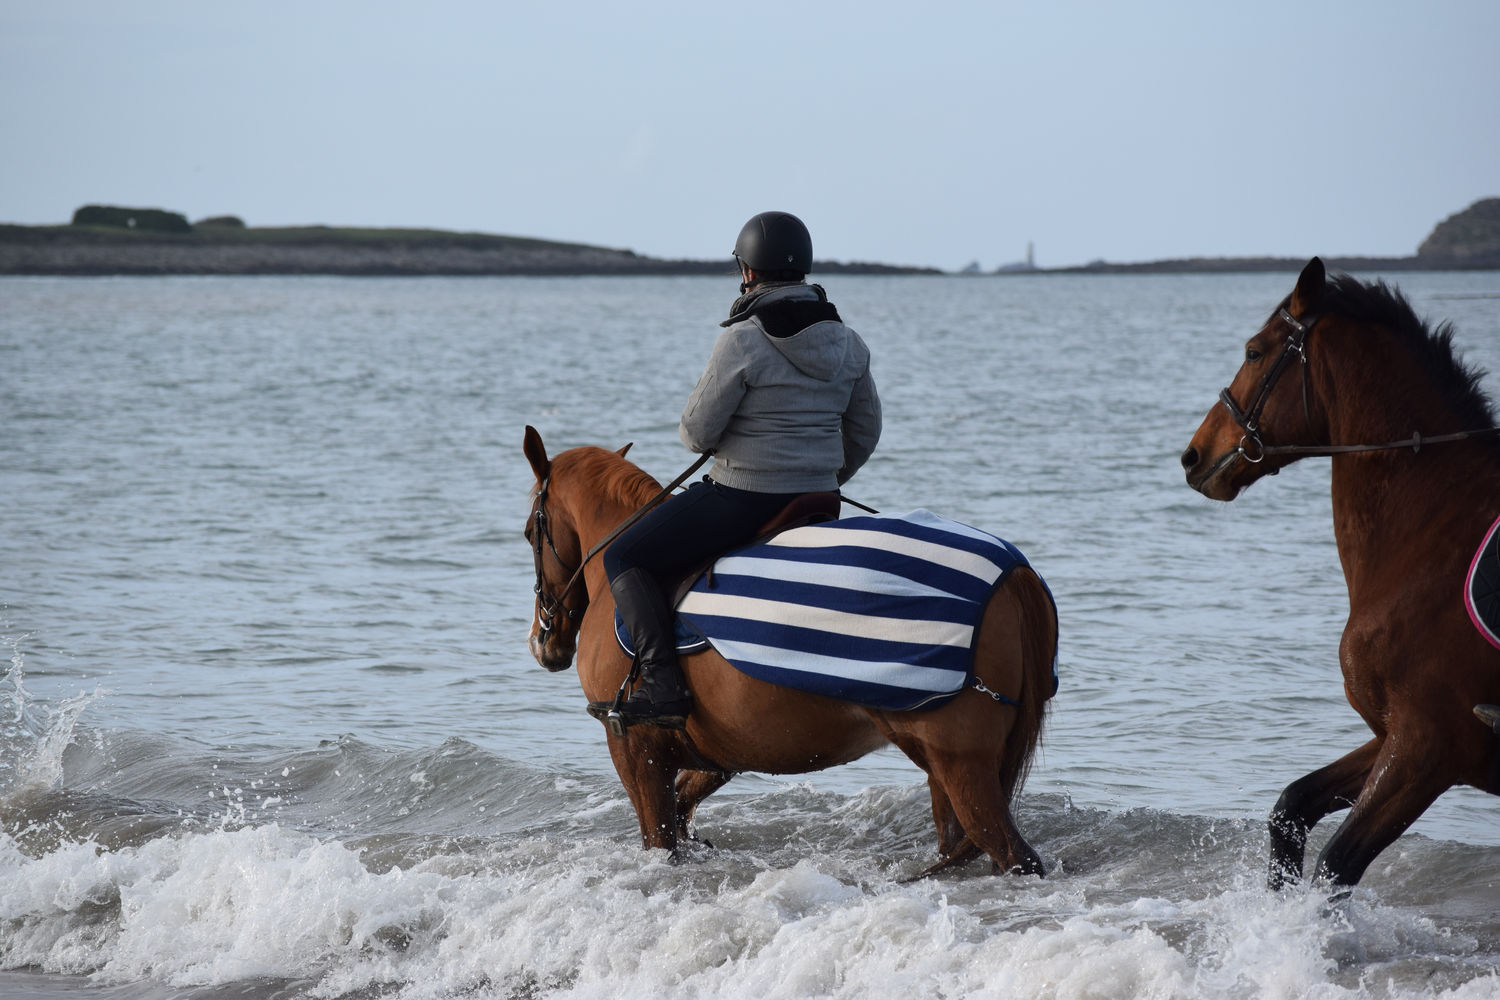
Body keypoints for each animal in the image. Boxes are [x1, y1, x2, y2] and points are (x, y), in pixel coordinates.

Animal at [522, 425, 1062, 869]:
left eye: (530, 532)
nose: (542, 642)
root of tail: (1011, 573)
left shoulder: (636, 749)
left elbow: (662, 838)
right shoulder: (721, 751)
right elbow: (682, 809)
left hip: (962, 764)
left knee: (1012, 855)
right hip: (944, 769)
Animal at [1182, 260, 1500, 893]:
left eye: (1254, 352)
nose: (1193, 456)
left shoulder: (1429, 745)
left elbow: (1335, 864)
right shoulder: (1394, 734)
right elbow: (1292, 806)